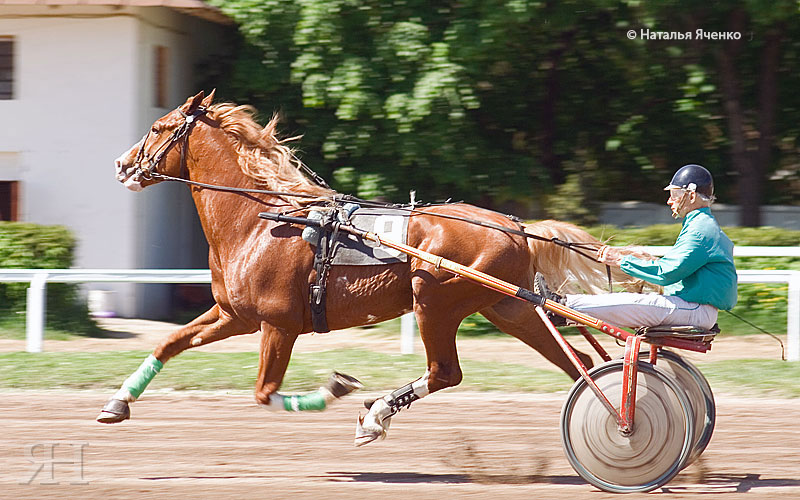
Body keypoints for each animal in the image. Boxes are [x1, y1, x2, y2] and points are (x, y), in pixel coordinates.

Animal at [100, 90, 636, 446]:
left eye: (157, 127)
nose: (122, 165)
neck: (262, 220)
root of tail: (515, 224)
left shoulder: (277, 324)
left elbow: (264, 392)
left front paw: (336, 388)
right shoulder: (234, 315)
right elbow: (169, 342)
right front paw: (117, 403)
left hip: (434, 300)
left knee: (446, 372)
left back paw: (377, 414)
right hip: (511, 308)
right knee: (576, 363)